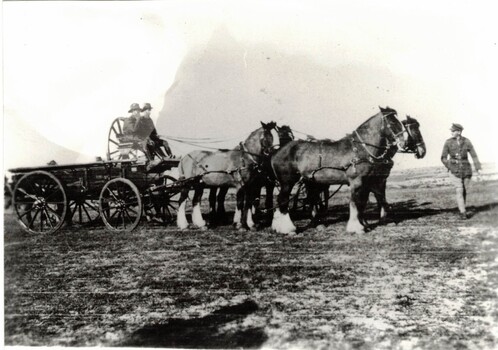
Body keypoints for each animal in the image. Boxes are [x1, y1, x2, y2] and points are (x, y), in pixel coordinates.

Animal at [270, 105, 406, 234]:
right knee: (283, 200)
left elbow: (362, 203)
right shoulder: (356, 181)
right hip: (287, 181)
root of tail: (277, 152)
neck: (360, 149)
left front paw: (364, 224)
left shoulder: (367, 182)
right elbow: (355, 203)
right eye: (393, 122)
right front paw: (356, 227)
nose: (404, 143)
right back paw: (288, 229)